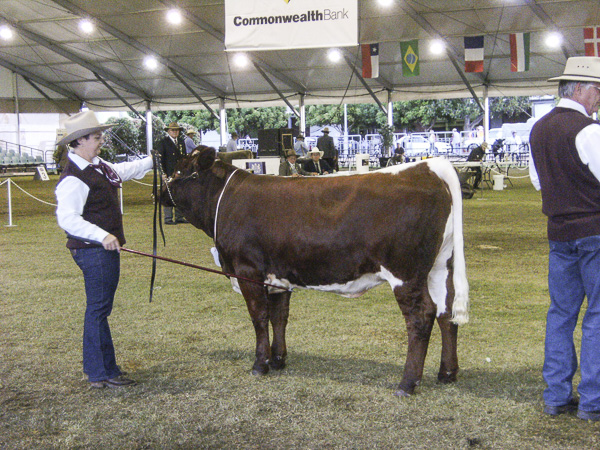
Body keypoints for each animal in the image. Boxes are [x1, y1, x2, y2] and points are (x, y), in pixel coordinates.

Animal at [161, 146, 468, 396]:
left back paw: (407, 383)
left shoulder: (247, 270)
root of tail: (427, 168)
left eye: (179, 170)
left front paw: (260, 364)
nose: (158, 191)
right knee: (446, 313)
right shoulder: (278, 277)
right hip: (440, 266)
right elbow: (279, 317)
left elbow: (259, 318)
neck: (226, 200)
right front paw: (278, 359)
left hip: (406, 273)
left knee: (422, 316)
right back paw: (447, 373)